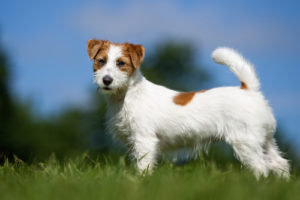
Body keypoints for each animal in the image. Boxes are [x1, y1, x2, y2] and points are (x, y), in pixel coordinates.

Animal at [87, 39, 290, 178]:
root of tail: (249, 89)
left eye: (121, 63)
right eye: (101, 61)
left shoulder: (144, 140)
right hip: (265, 140)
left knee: (261, 167)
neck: (127, 95)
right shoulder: (133, 142)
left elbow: (144, 166)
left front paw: (141, 181)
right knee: (279, 163)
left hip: (245, 141)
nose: (106, 80)